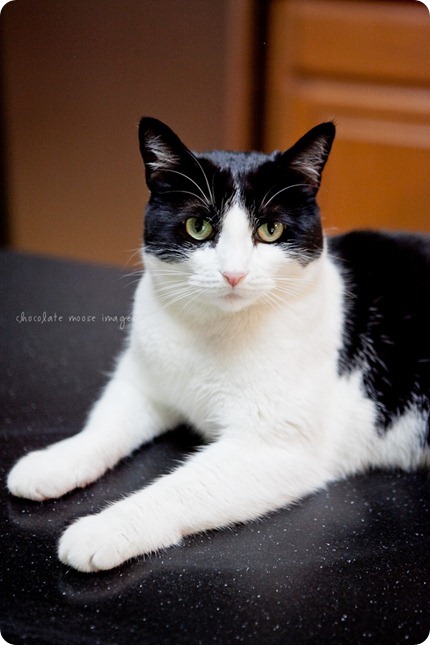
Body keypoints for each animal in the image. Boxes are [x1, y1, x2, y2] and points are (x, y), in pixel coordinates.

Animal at [6, 118, 430, 572]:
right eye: (199, 227)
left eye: (270, 230)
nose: (234, 274)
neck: (213, 332)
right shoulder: (142, 383)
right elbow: (104, 426)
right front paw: (53, 462)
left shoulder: (274, 446)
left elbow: (183, 487)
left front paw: (106, 528)